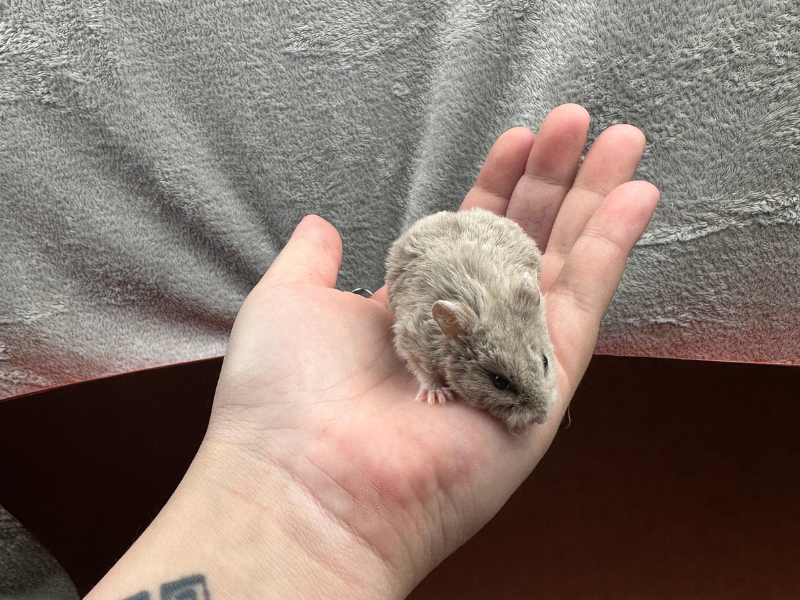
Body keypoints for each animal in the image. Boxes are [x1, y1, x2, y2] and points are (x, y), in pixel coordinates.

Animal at [385, 208, 557, 429]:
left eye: (545, 361)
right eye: (499, 381)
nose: (542, 419)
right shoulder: (413, 340)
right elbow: (424, 371)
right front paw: (437, 397)